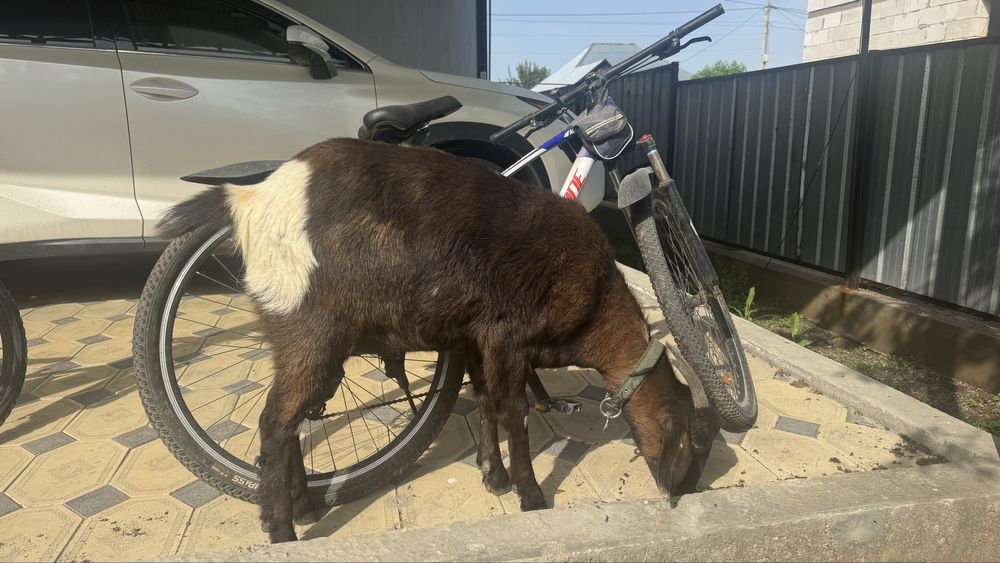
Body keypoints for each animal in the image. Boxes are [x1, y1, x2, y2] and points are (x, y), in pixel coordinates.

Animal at [158, 138, 718, 543]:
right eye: (697, 442)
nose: (688, 491)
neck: (596, 295)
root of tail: (252, 200)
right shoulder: (506, 336)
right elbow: (513, 412)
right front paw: (529, 493)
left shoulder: (475, 338)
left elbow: (486, 402)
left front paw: (492, 475)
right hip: (310, 331)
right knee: (275, 423)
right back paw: (280, 531)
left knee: (292, 421)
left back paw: (305, 507)